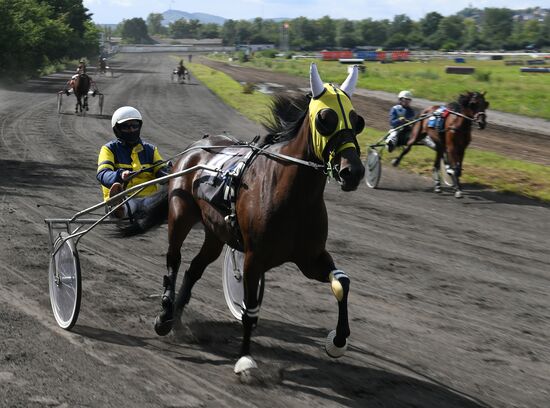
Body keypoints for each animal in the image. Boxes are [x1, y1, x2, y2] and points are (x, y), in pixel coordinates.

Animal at [125, 63, 366, 372]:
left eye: (357, 121)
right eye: (325, 119)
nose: (353, 171)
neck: (291, 195)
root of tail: (195, 148)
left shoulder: (310, 258)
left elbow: (342, 282)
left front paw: (338, 340)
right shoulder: (254, 258)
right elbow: (250, 310)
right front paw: (246, 359)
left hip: (216, 234)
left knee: (194, 268)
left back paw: (176, 316)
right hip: (180, 214)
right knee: (174, 259)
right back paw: (165, 314)